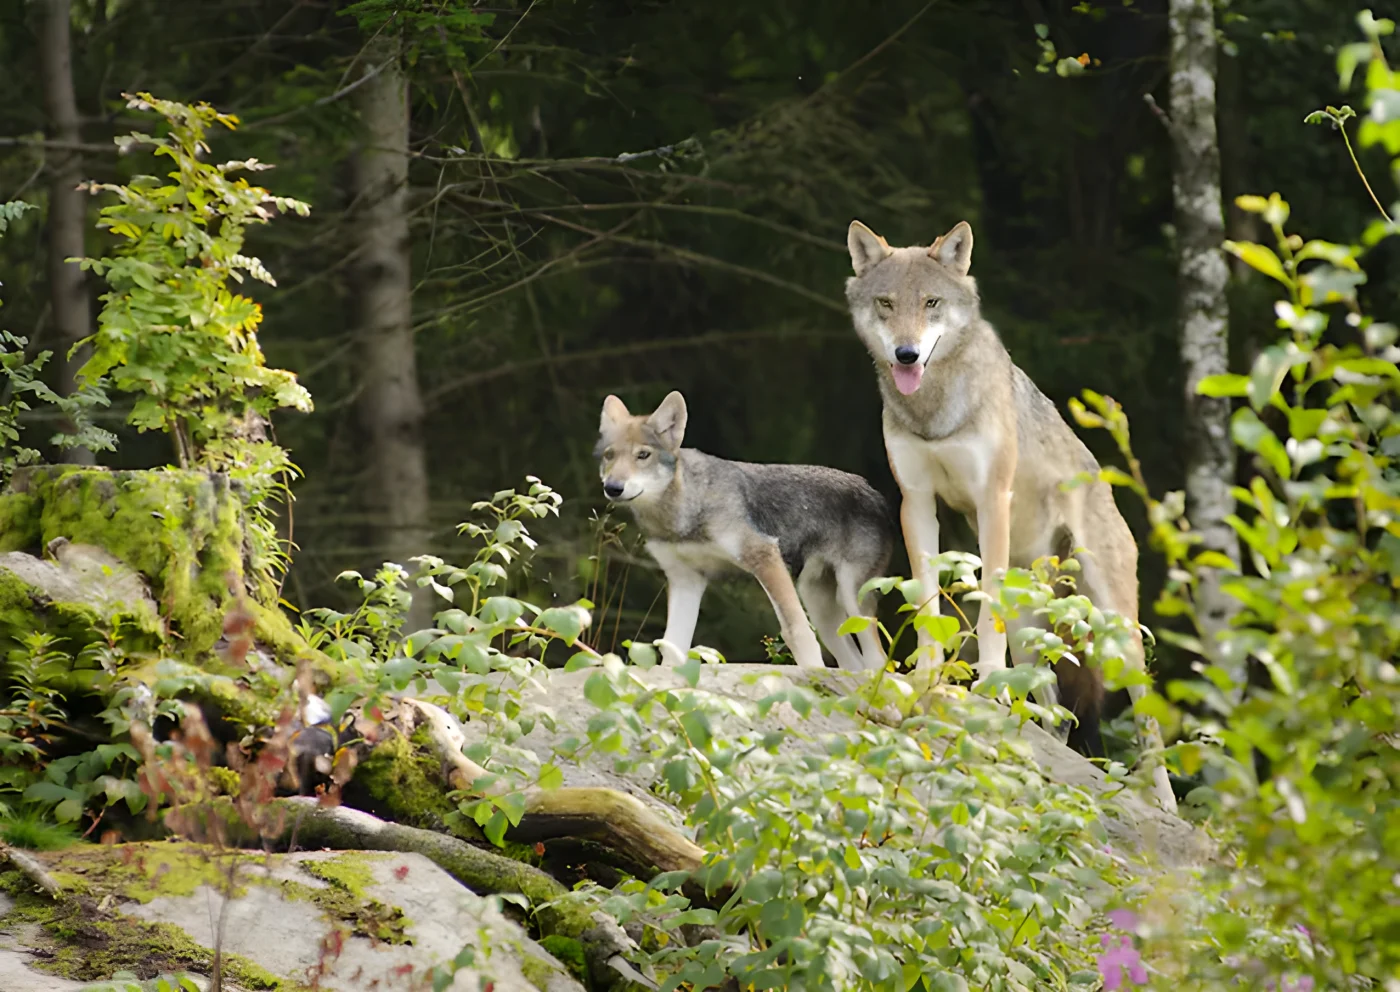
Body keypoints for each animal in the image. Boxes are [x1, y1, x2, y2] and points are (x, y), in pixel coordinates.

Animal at [595, 391, 894, 672]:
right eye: (610, 456)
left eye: (643, 455)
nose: (613, 487)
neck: (682, 514)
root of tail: (875, 493)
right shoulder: (685, 579)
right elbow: (672, 646)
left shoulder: (764, 556)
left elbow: (796, 631)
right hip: (820, 606)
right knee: (855, 665)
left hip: (851, 598)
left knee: (879, 661)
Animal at [843, 219, 1175, 806]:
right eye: (886, 304)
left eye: (931, 303)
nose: (906, 354)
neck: (935, 411)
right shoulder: (916, 502)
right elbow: (927, 601)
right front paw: (929, 674)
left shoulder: (991, 498)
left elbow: (985, 606)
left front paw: (986, 682)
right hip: (1034, 629)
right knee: (1058, 719)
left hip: (1115, 631)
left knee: (1147, 721)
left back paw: (1163, 800)